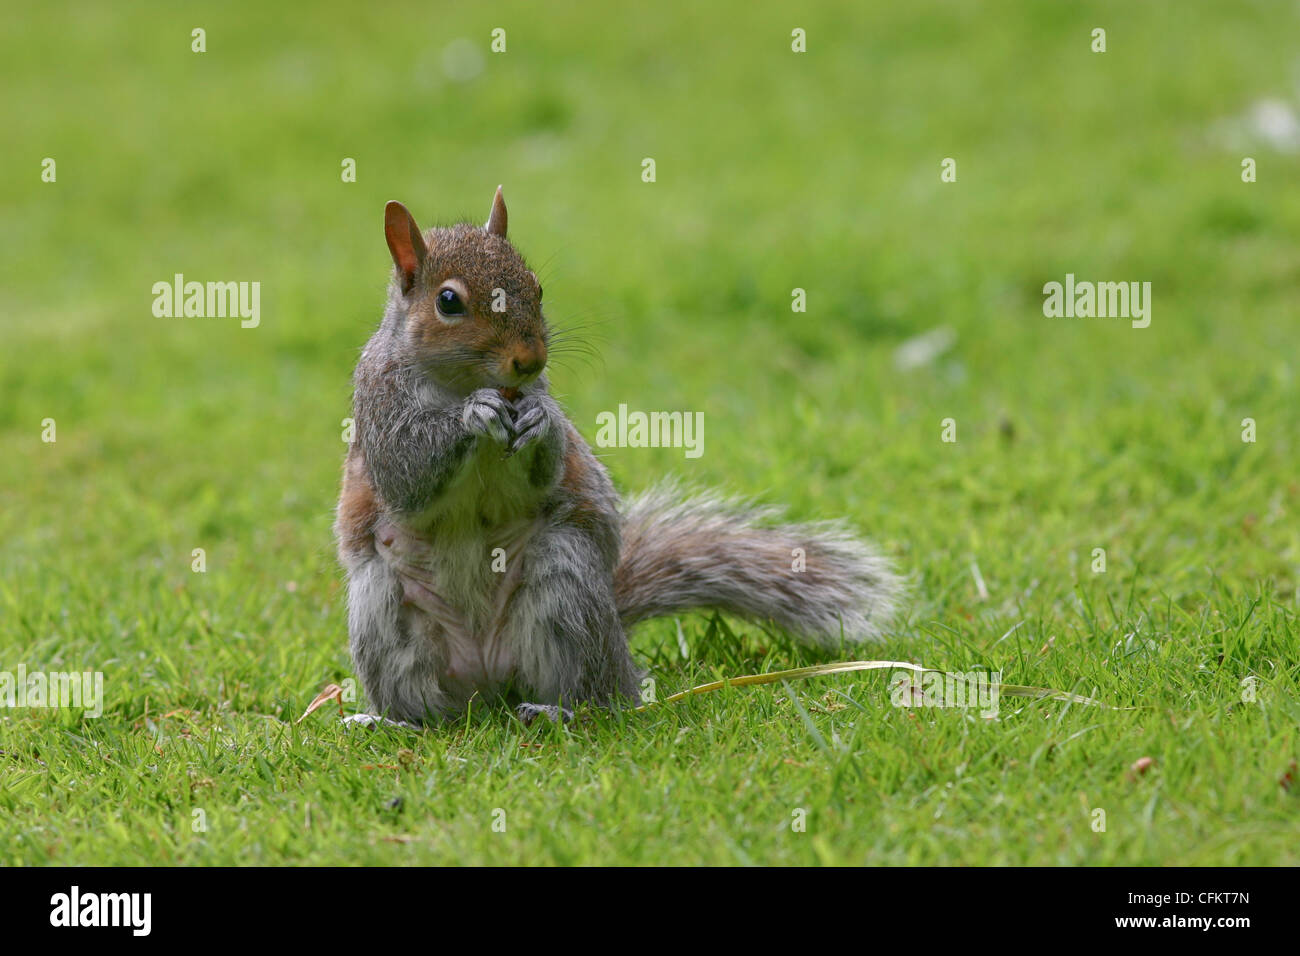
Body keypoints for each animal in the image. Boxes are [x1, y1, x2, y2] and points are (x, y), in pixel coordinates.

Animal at [332, 184, 904, 723]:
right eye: (448, 302)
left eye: (537, 287)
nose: (530, 359)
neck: (459, 383)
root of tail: (488, 682)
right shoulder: (379, 404)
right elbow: (406, 470)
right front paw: (474, 414)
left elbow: (547, 468)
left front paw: (543, 421)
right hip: (383, 607)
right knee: (434, 708)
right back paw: (393, 721)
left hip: (564, 579)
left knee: (598, 696)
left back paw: (560, 710)